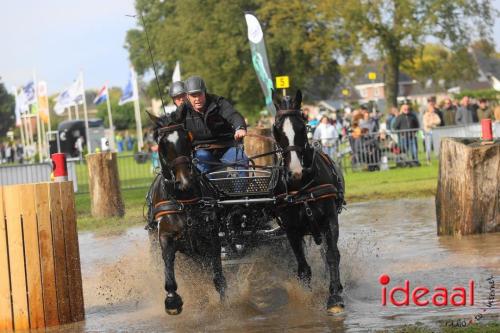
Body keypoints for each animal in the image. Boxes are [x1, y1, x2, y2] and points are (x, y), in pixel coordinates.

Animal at [146, 113, 226, 314]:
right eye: (162, 145)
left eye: (187, 139)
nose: (185, 181)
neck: (184, 201)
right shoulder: (165, 235)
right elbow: (168, 259)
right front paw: (172, 299)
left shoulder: (211, 236)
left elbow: (218, 277)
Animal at [272, 89, 346, 312]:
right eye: (276, 129)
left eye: (303, 126)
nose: (296, 171)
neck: (302, 187)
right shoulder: (291, 230)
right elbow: (303, 267)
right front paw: (306, 298)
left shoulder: (329, 221)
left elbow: (332, 255)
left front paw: (334, 296)